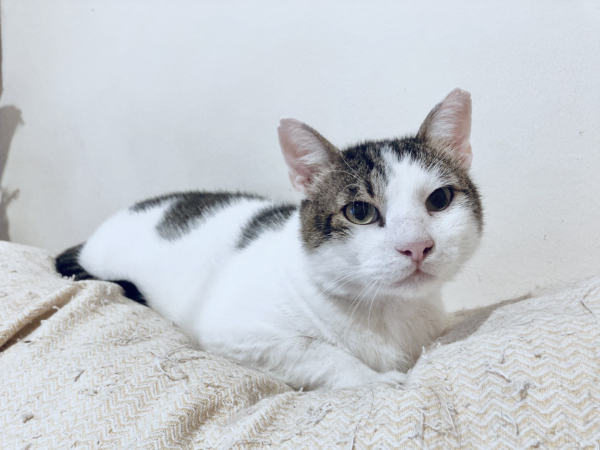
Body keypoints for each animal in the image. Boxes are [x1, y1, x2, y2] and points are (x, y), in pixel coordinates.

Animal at [54, 88, 480, 390]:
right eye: (360, 212)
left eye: (439, 200)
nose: (417, 245)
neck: (389, 312)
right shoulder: (235, 334)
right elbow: (316, 351)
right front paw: (376, 379)